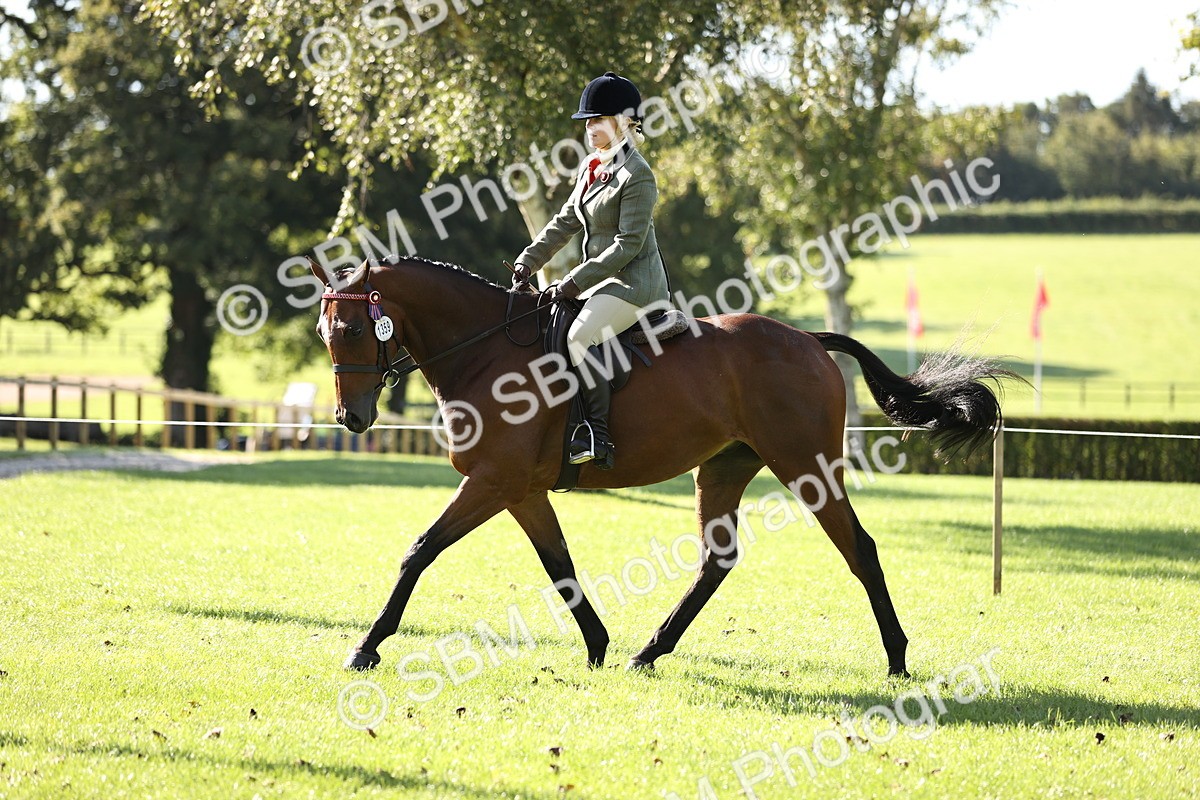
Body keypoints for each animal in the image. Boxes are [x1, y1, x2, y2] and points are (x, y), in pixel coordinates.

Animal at [311, 255, 1015, 677]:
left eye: (355, 330)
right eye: (326, 333)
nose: (351, 418)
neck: (484, 352)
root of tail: (809, 340)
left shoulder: (491, 482)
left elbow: (420, 550)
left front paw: (367, 646)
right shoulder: (520, 491)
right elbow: (560, 566)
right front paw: (597, 646)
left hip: (806, 466)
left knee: (859, 548)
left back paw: (896, 661)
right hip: (724, 469)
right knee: (717, 560)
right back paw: (649, 651)